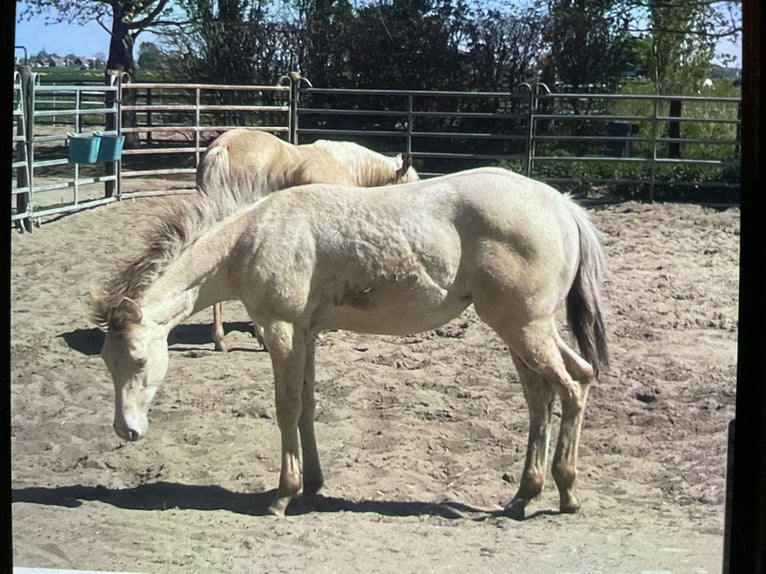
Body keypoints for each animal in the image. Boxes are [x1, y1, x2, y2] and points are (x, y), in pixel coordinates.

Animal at [91, 167, 609, 520]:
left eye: (139, 360)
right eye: (107, 363)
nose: (126, 430)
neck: (253, 237)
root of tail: (563, 205)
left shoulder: (279, 329)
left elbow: (285, 406)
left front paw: (282, 495)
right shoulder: (305, 333)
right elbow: (306, 406)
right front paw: (313, 484)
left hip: (523, 327)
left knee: (569, 389)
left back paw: (565, 493)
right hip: (526, 330)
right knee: (554, 390)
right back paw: (523, 496)